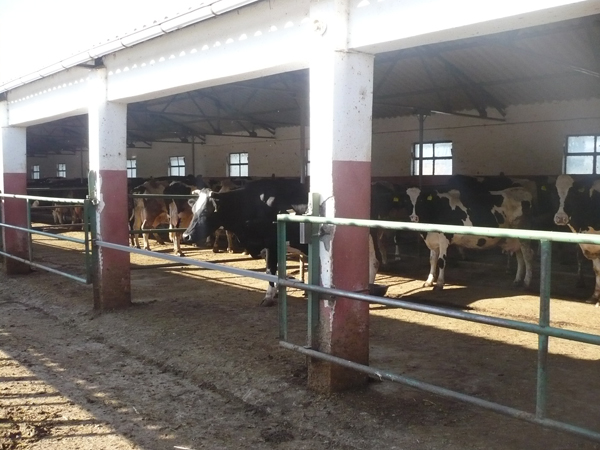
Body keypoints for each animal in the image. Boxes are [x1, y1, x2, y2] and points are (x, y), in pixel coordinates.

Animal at [407, 175, 535, 290]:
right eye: (406, 199)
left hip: (523, 234)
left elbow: (441, 261)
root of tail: (521, 191)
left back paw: (526, 282)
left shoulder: (444, 239)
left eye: (421, 200)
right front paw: (429, 281)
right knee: (520, 256)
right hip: (515, 238)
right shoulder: (432, 240)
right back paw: (517, 280)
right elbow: (432, 260)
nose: (413, 217)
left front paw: (439, 284)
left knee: (528, 256)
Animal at [553, 174, 600, 306]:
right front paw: (594, 297)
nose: (560, 218)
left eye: (573, 193)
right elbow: (597, 270)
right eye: (555, 192)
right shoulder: (590, 247)